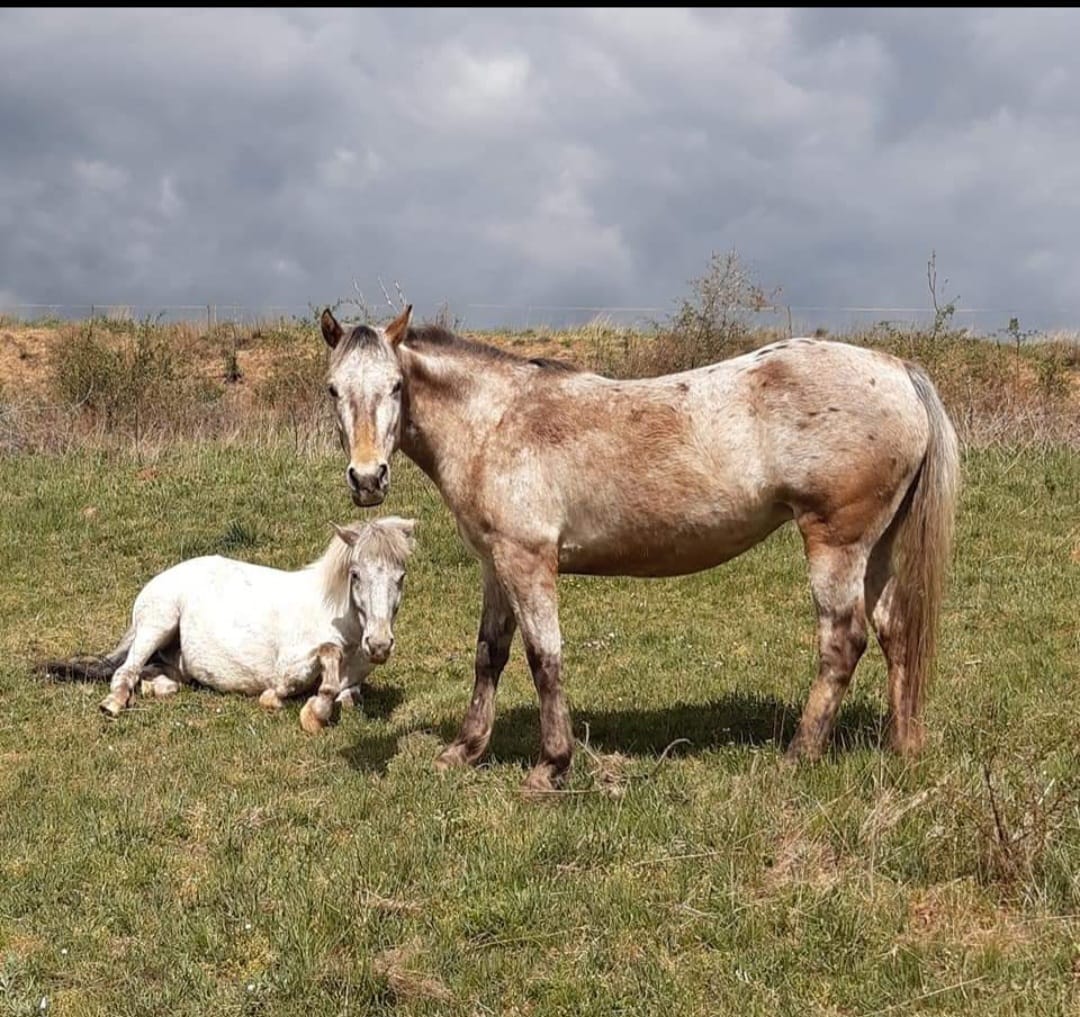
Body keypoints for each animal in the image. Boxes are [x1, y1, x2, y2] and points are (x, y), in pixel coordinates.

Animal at [42, 518, 414, 734]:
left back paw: (153, 689)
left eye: (401, 577)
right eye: (356, 575)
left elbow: (347, 695)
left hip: (176, 661)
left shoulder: (354, 683)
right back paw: (114, 704)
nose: (379, 645)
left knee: (155, 677)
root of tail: (162, 578)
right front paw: (302, 709)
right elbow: (319, 664)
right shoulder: (289, 666)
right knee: (126, 672)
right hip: (157, 624)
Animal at [315, 306, 959, 790]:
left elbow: (543, 658)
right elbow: (488, 655)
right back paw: (904, 745)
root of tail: (897, 370)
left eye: (396, 386)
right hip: (876, 548)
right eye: (333, 390)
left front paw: (550, 768)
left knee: (843, 641)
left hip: (835, 542)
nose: (367, 479)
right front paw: (464, 751)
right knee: (895, 630)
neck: (497, 421)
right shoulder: (496, 565)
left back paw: (800, 754)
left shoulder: (529, 561)